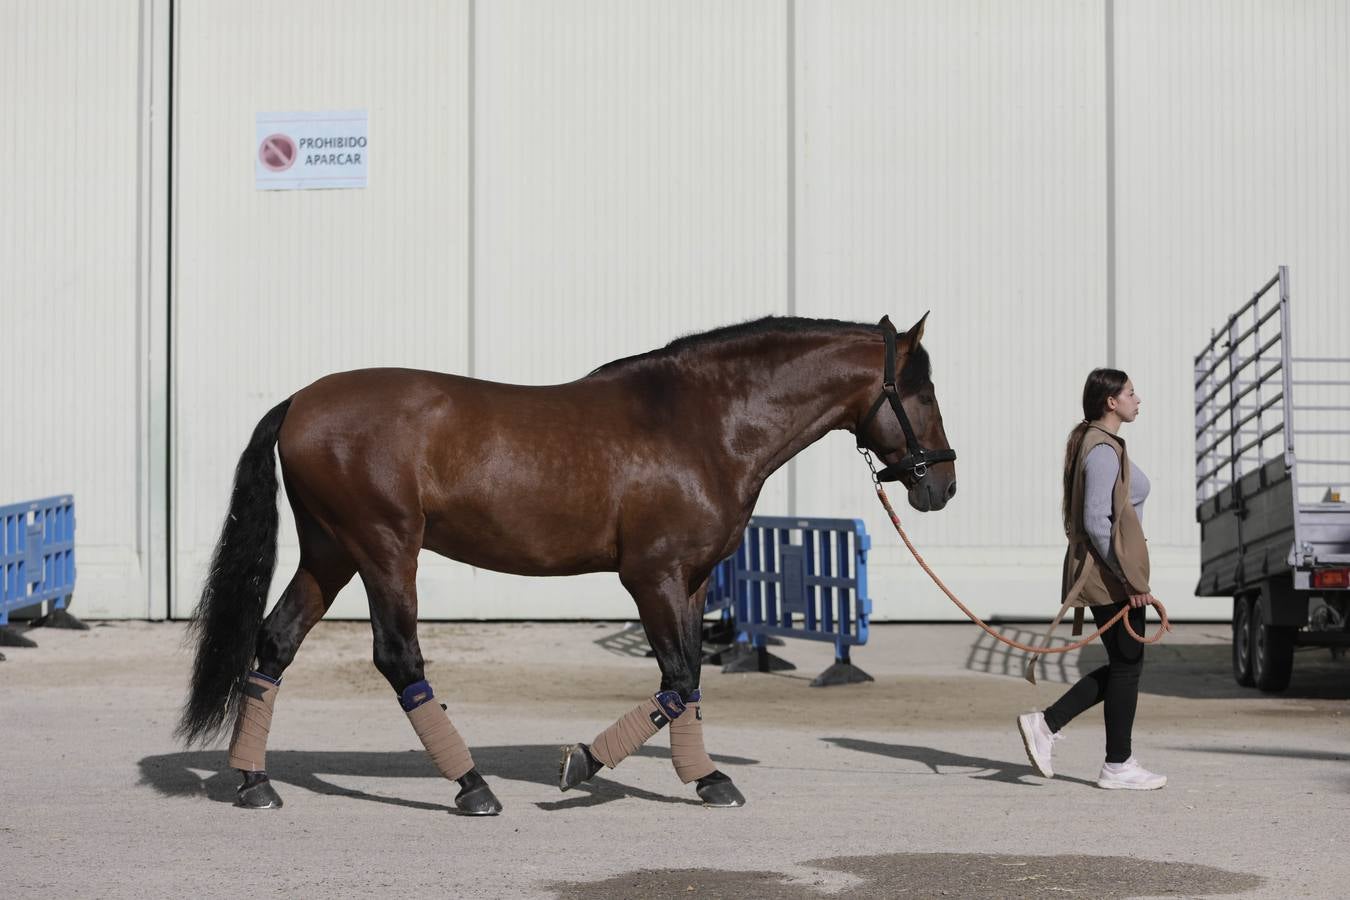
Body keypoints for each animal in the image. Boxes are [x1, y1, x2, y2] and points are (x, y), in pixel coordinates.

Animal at [177, 313, 957, 814]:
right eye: (922, 392)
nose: (942, 485)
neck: (700, 423)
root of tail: (298, 402)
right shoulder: (653, 577)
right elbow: (677, 677)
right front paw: (590, 762)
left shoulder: (692, 581)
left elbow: (688, 681)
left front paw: (703, 777)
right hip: (383, 548)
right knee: (399, 658)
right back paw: (472, 786)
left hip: (331, 552)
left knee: (275, 642)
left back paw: (253, 783)